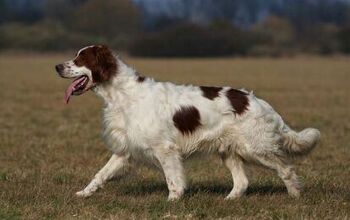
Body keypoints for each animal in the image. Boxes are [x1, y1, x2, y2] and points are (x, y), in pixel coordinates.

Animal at [54, 45, 320, 201]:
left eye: (80, 59)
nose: (56, 66)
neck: (122, 95)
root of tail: (259, 102)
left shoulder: (165, 149)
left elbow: (173, 180)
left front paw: (172, 202)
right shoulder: (126, 149)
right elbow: (100, 174)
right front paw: (83, 193)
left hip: (256, 148)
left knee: (286, 169)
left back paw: (295, 196)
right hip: (230, 151)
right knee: (242, 182)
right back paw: (229, 200)